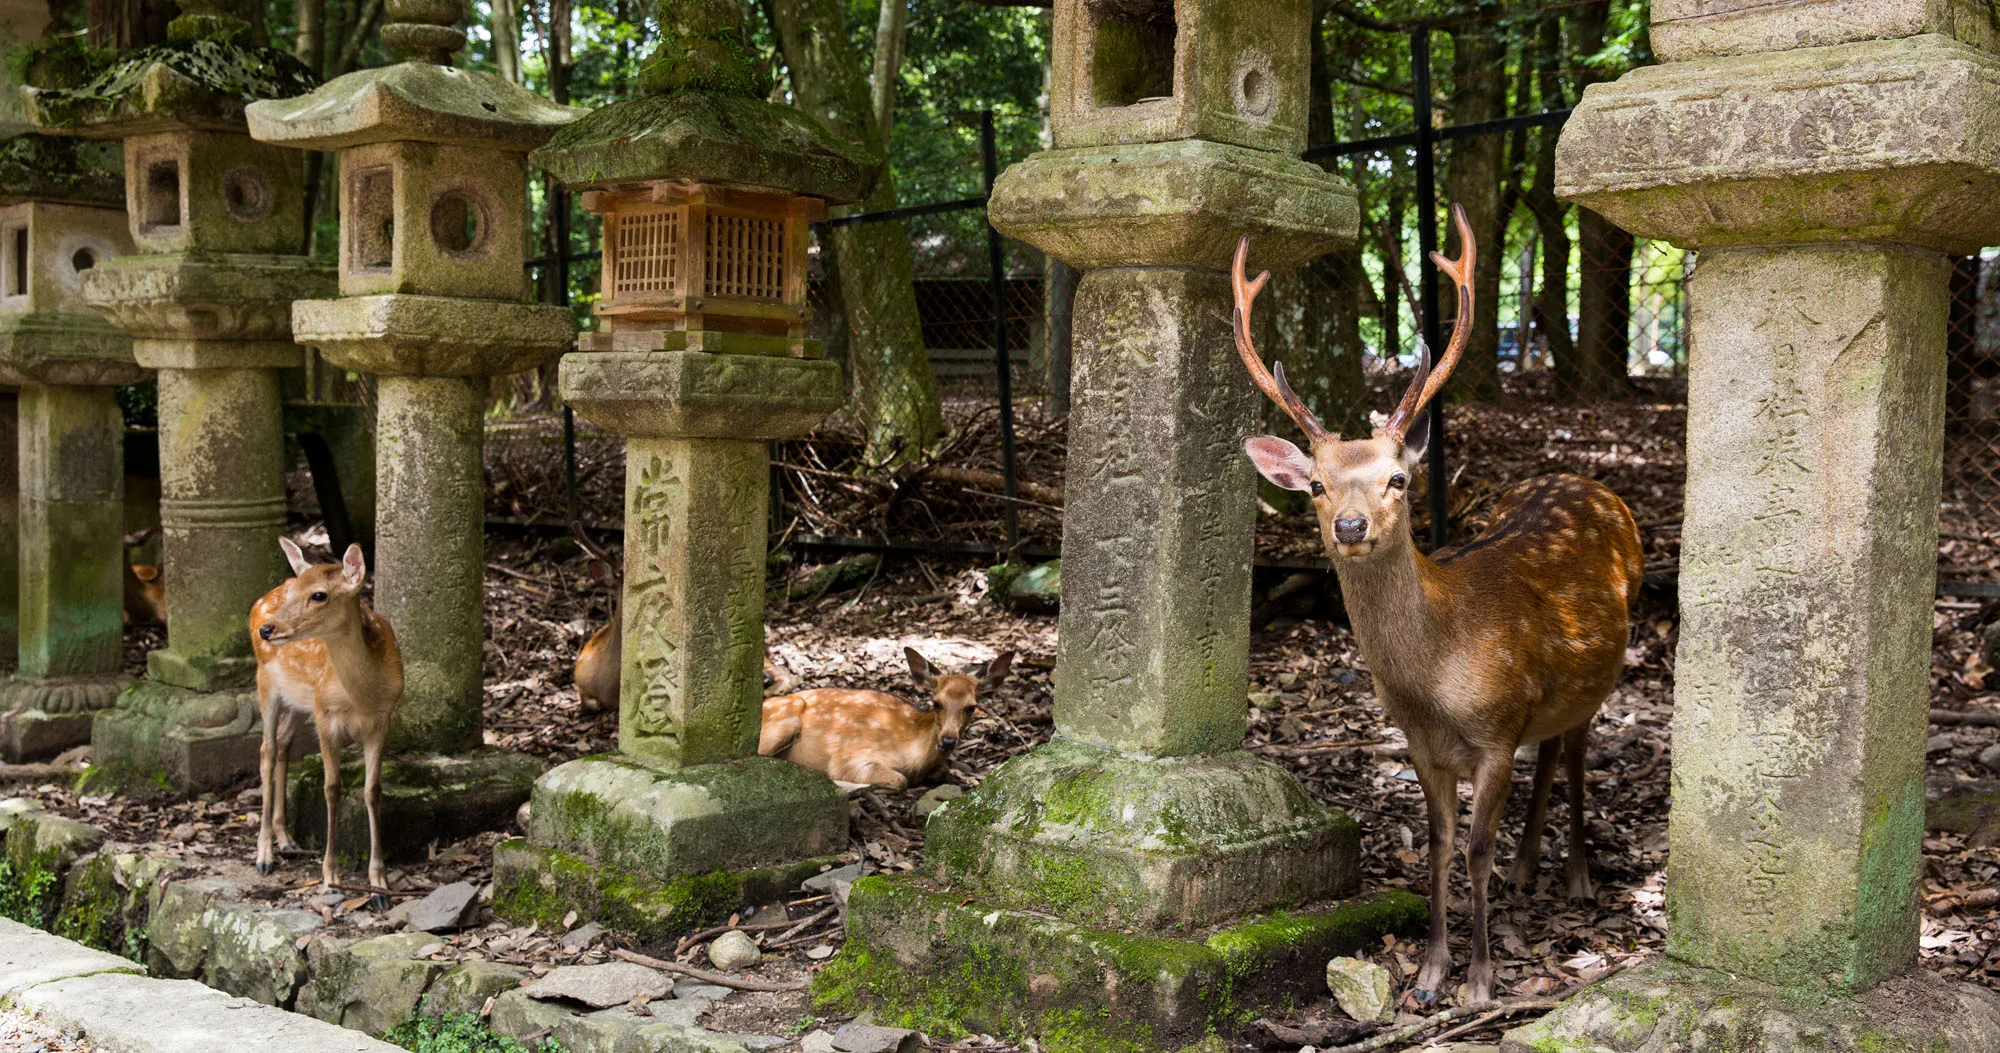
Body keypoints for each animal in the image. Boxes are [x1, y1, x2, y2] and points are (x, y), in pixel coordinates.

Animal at [250, 540, 406, 912]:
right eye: (296, 591)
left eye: (319, 595)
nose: (268, 629)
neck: (363, 696)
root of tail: (260, 601)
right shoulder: (324, 716)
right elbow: (332, 789)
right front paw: (330, 877)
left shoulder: (382, 722)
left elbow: (373, 791)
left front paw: (379, 885)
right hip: (267, 683)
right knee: (266, 749)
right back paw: (264, 856)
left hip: (297, 700)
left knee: (284, 744)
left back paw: (286, 839)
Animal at [764, 652, 1016, 792]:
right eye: (936, 703)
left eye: (971, 707)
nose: (947, 741)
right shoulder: (849, 757)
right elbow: (899, 780)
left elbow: (943, 770)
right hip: (786, 718)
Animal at [1232, 206, 1640, 1008]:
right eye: (1317, 484)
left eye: (1397, 477)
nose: (1350, 526)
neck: (1438, 680)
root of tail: (1591, 482)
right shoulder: (1422, 745)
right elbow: (1440, 844)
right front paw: (1428, 974)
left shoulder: (1495, 732)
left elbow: (1476, 847)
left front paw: (1479, 981)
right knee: (1551, 749)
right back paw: (1529, 869)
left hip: (1602, 674)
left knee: (1577, 750)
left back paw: (1576, 876)